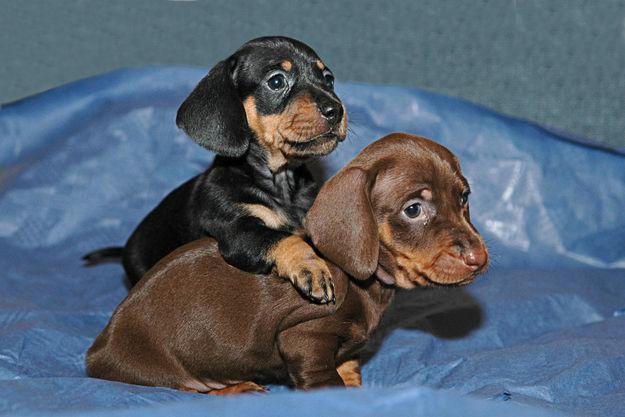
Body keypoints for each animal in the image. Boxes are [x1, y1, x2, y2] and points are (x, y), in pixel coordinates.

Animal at [83, 36, 346, 302]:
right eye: (276, 81)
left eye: (328, 79)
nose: (336, 110)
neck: (280, 182)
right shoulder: (236, 230)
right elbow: (285, 238)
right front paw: (310, 266)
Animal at [86, 134, 488, 394]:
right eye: (413, 209)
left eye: (464, 197)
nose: (480, 259)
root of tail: (97, 350)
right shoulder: (303, 337)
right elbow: (325, 380)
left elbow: (349, 367)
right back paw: (236, 388)